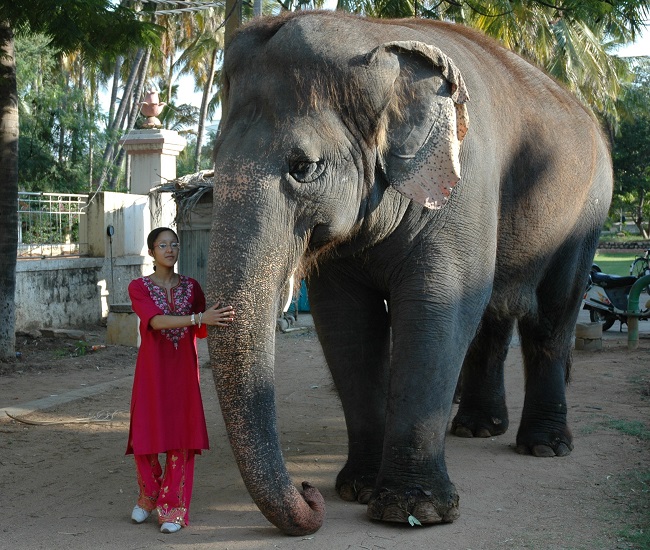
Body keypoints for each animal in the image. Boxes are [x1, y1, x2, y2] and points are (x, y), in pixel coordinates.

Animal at [206, 11, 613, 536]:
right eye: (213, 161)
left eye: (304, 167)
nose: (308, 492)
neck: (375, 37)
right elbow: (347, 322)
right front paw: (357, 489)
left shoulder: (463, 183)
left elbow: (437, 305)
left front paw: (411, 510)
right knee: (494, 314)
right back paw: (477, 428)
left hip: (588, 211)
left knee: (554, 312)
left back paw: (543, 447)